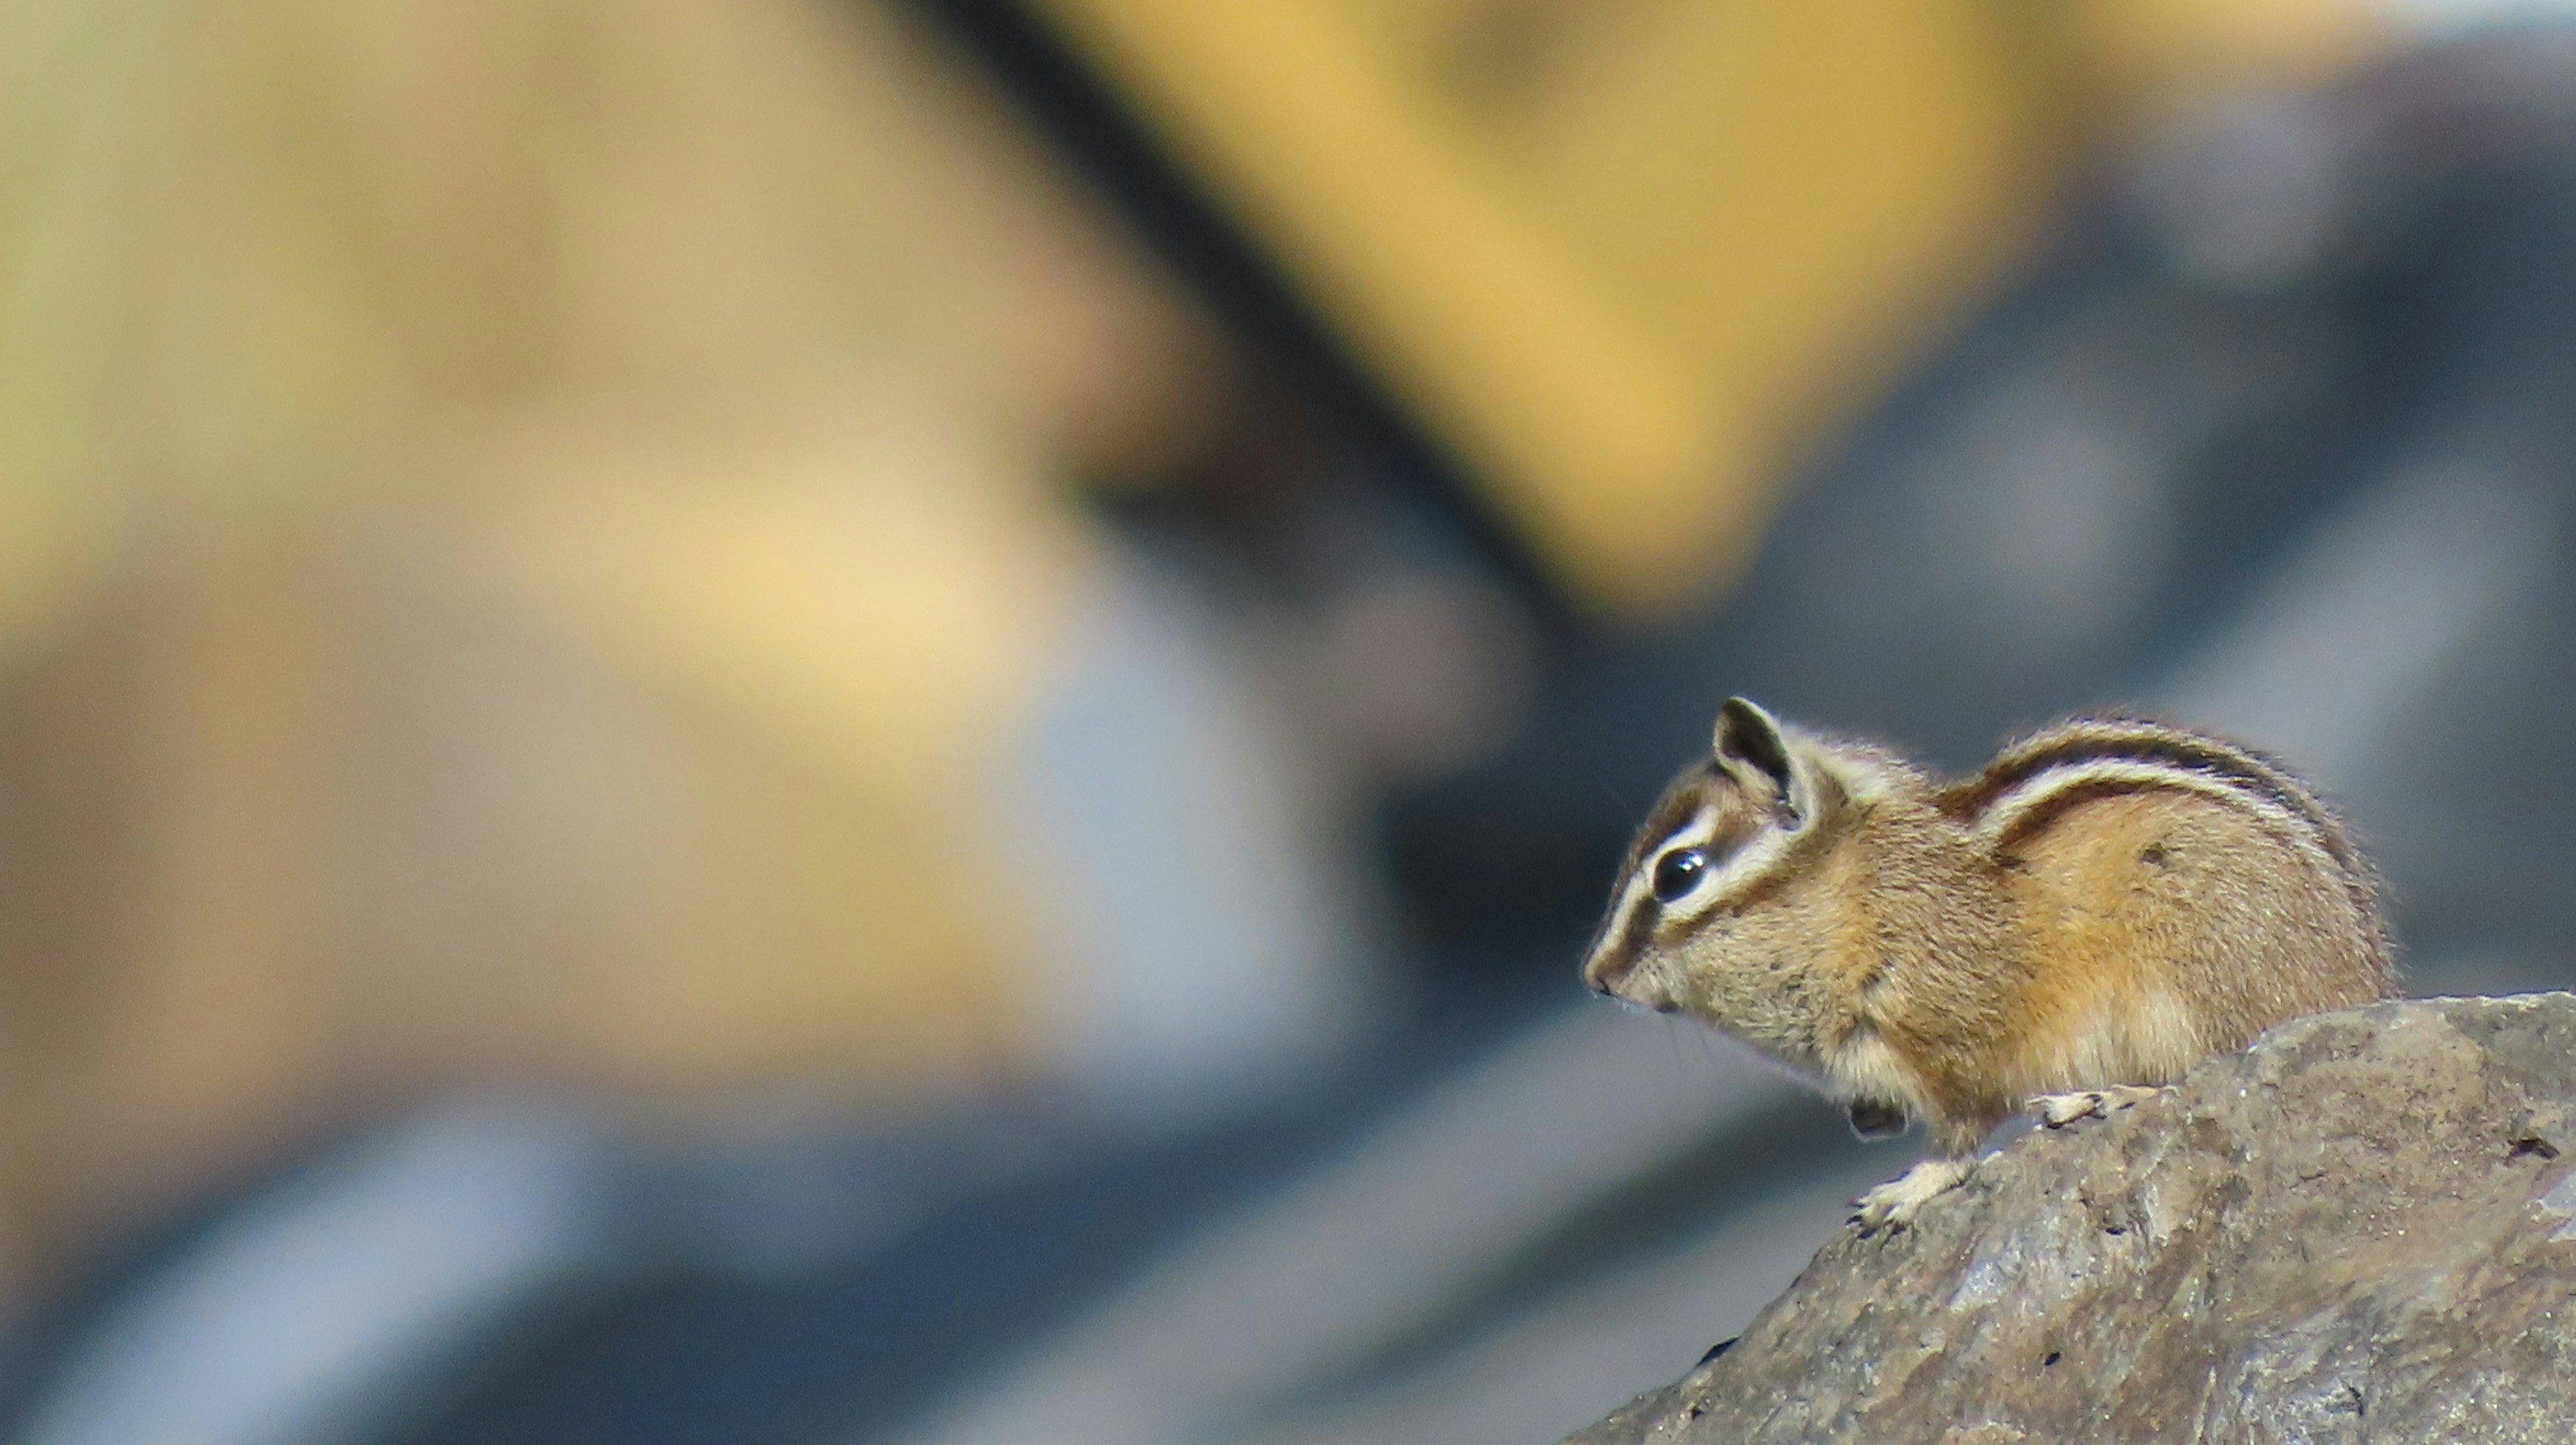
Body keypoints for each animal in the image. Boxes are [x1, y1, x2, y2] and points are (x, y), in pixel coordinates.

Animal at [1580, 697, 2395, 1229]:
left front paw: (1911, 1186)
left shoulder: (1955, 1039)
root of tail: (2369, 983)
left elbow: (1962, 1133)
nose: (1596, 978)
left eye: (1679, 873)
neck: (1853, 893)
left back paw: (2099, 1096)